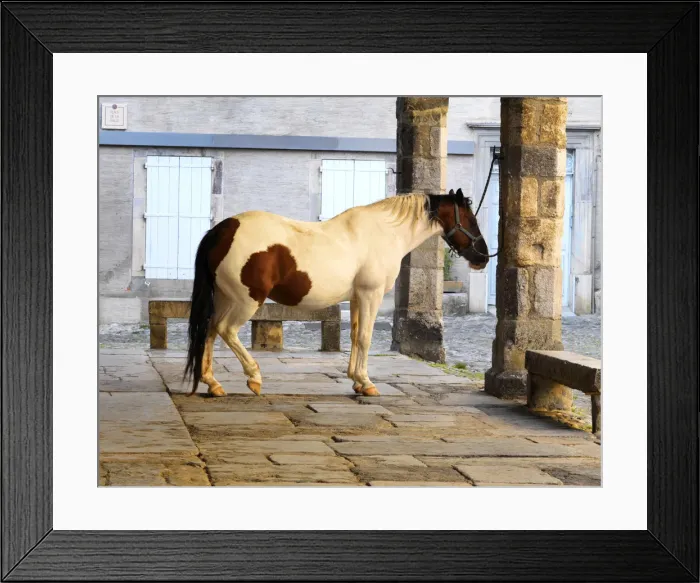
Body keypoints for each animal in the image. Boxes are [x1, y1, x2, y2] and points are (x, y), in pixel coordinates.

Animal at [183, 188, 489, 398]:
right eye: (471, 219)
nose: (483, 257)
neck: (385, 233)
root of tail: (222, 230)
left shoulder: (356, 298)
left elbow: (354, 336)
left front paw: (356, 380)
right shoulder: (370, 295)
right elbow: (365, 338)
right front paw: (367, 383)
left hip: (225, 297)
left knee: (210, 331)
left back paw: (213, 384)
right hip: (246, 300)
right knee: (226, 330)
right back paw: (254, 377)